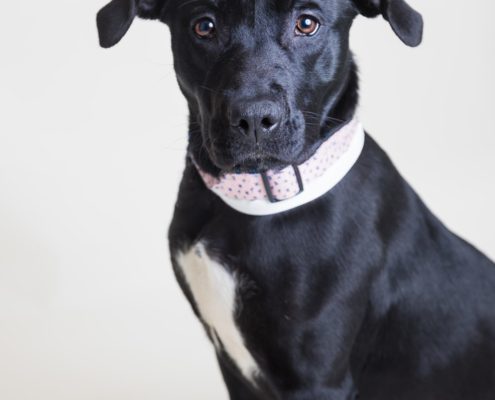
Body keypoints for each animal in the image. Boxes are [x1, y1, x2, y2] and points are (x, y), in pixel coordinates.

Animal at [97, 0, 495, 398]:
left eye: (306, 24)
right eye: (204, 26)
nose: (254, 119)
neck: (256, 202)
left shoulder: (317, 379)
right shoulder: (233, 367)